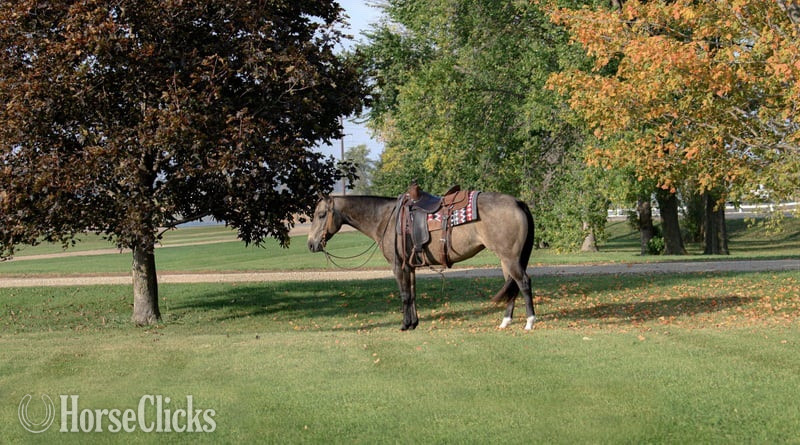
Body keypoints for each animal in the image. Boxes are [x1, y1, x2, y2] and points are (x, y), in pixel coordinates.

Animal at [306, 193, 536, 331]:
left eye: (321, 215)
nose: (310, 244)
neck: (385, 219)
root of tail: (517, 202)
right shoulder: (410, 267)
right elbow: (413, 294)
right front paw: (414, 323)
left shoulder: (398, 266)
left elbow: (405, 295)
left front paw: (405, 325)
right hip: (506, 260)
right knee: (512, 285)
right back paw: (505, 321)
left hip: (510, 258)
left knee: (523, 283)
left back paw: (530, 322)